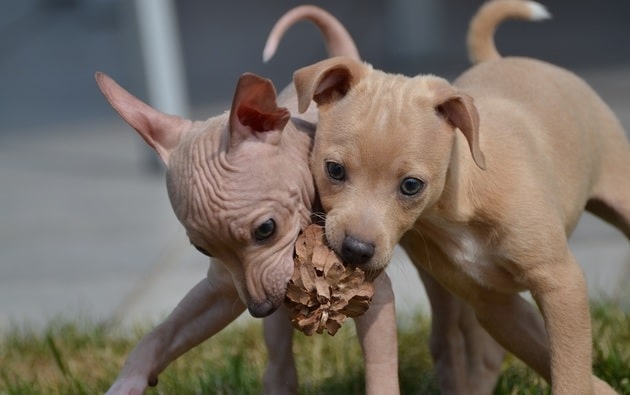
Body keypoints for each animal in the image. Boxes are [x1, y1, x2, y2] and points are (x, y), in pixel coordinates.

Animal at [296, 1, 630, 394]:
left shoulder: (562, 285)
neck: (458, 205)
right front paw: (604, 388)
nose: (356, 250)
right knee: (462, 347)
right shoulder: (493, 303)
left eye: (411, 186)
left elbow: (569, 368)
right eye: (334, 170)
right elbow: (542, 352)